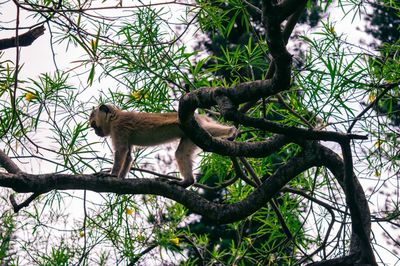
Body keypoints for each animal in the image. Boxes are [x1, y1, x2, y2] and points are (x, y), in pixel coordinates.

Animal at [89, 104, 236, 187]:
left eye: (94, 124)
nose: (96, 132)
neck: (115, 116)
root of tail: (199, 117)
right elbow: (128, 156)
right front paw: (120, 178)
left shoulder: (119, 127)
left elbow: (121, 151)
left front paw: (112, 175)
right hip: (191, 136)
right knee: (181, 153)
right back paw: (187, 182)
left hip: (197, 126)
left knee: (208, 130)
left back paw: (231, 131)